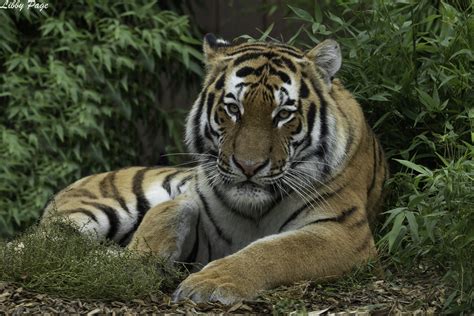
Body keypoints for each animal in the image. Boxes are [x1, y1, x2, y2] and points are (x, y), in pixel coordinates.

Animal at [41, 34, 388, 304]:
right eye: (233, 108)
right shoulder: (192, 209)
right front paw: (129, 263)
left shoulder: (344, 230)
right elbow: (166, 214)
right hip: (90, 214)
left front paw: (210, 284)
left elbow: (278, 249)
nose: (249, 166)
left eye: (283, 114)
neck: (253, 212)